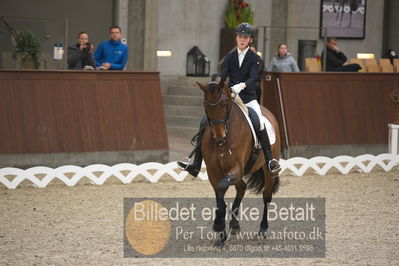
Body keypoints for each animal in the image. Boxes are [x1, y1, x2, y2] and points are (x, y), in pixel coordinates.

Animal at [198, 78, 282, 247]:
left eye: (224, 103)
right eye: (205, 104)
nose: (219, 137)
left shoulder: (236, 168)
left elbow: (222, 188)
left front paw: (218, 226)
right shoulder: (213, 172)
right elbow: (220, 195)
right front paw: (221, 235)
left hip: (267, 169)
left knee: (266, 195)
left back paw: (262, 229)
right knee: (242, 188)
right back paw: (234, 226)